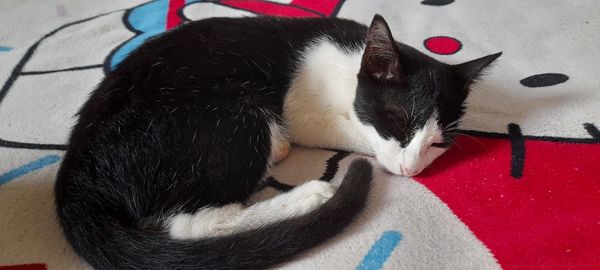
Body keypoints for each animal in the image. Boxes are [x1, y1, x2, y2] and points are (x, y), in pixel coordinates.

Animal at [56, 15, 500, 270]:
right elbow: (348, 130)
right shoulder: (303, 108)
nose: (410, 170)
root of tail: (77, 176)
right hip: (228, 113)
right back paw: (307, 193)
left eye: (439, 144)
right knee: (190, 225)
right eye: (400, 123)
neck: (350, 61)